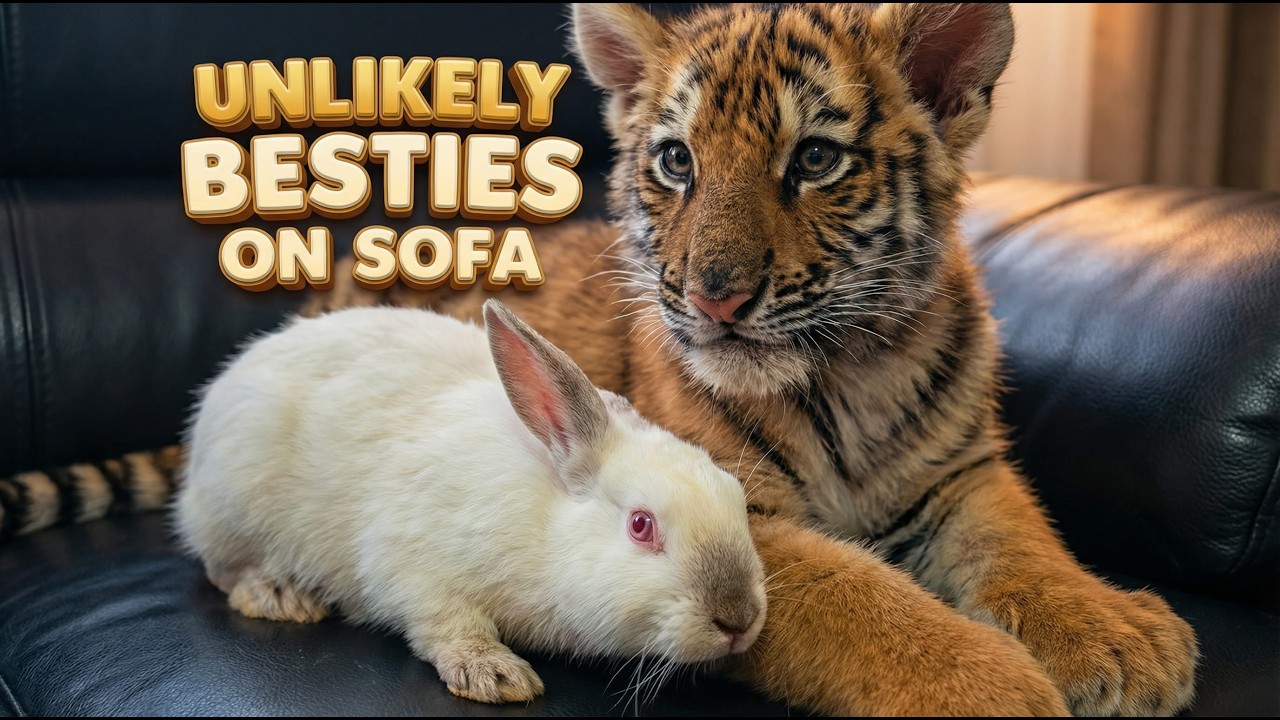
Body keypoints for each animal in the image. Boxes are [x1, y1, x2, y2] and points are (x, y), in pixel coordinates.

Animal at [0, 3, 1199, 716]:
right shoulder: (774, 533)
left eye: (814, 160)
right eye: (674, 163)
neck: (847, 370)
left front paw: (1117, 637)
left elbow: (1024, 547)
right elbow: (876, 605)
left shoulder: (960, 475)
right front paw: (996, 686)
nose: (711, 295)